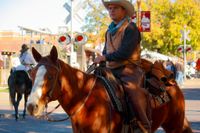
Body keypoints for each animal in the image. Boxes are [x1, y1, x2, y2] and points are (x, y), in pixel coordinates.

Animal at [26, 46, 192, 133]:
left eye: (51, 76)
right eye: (31, 73)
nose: (31, 106)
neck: (85, 101)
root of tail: (171, 82)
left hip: (174, 125)